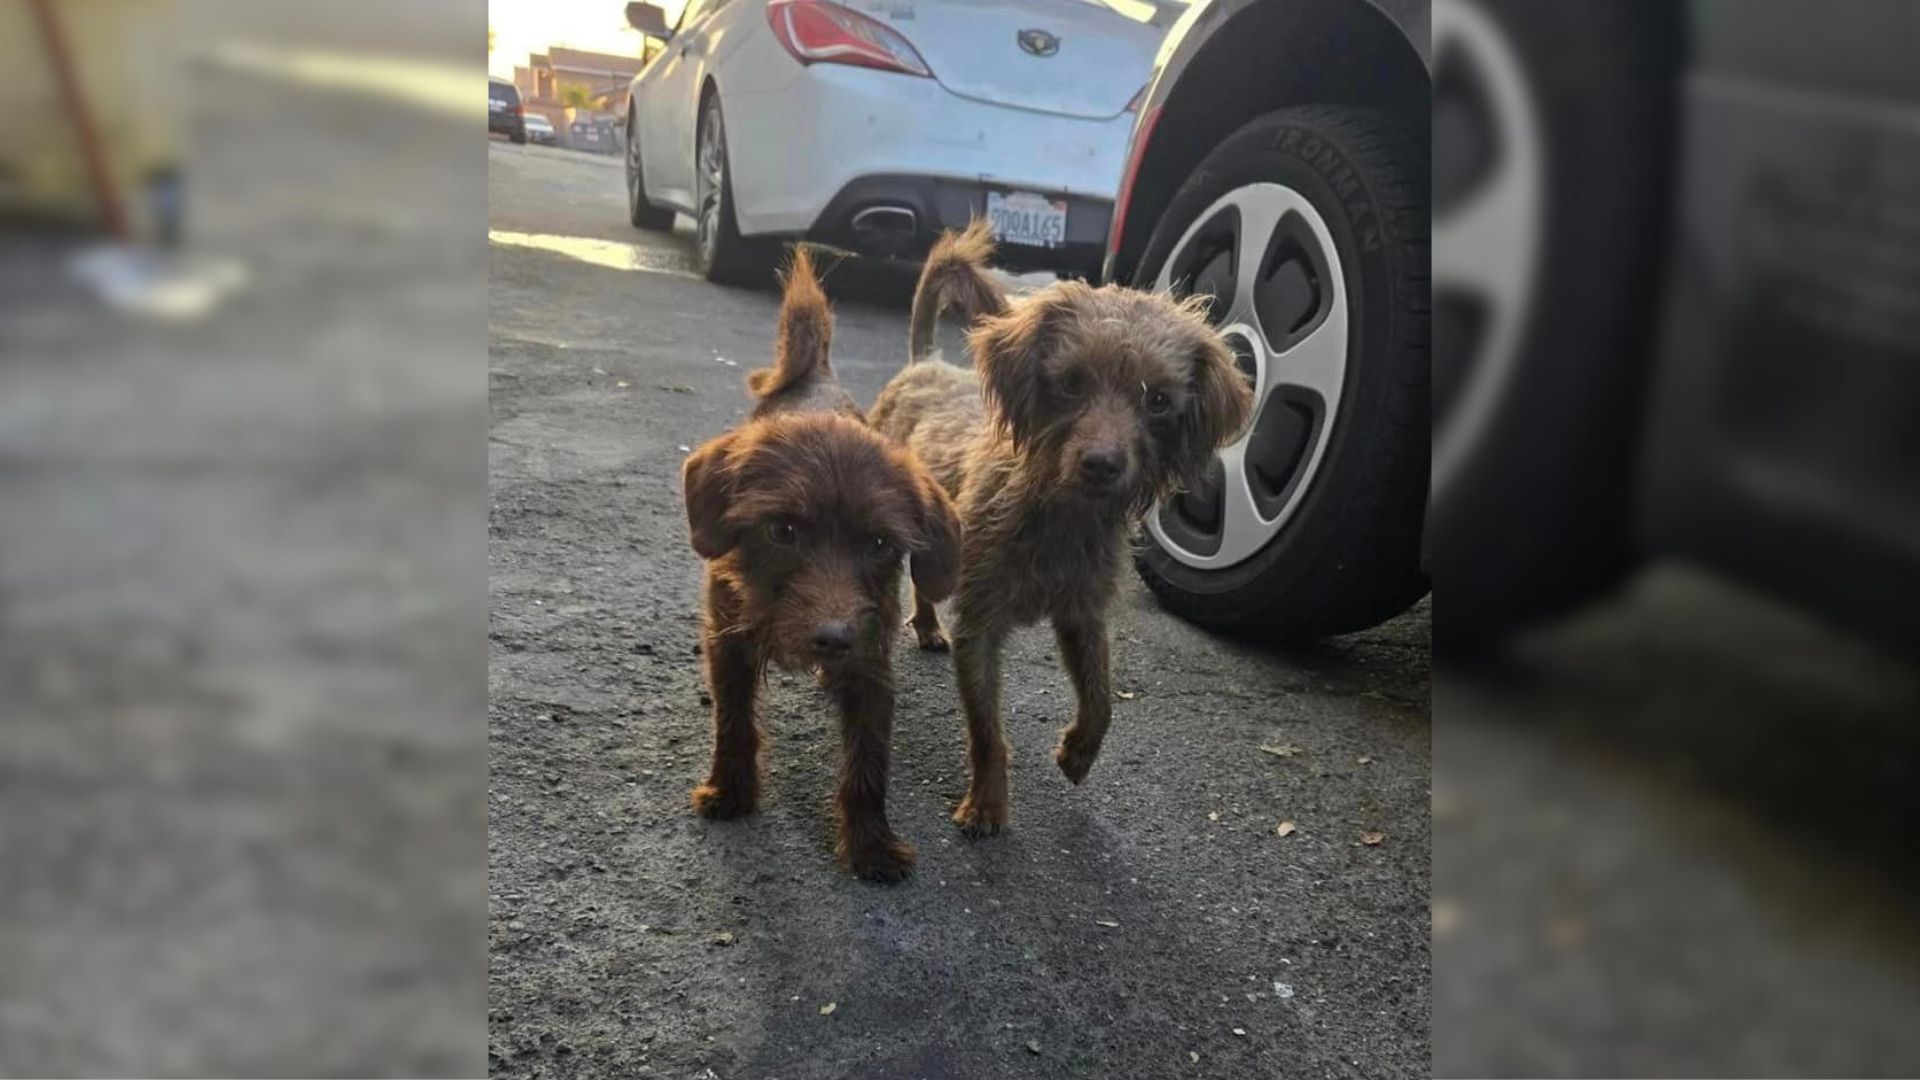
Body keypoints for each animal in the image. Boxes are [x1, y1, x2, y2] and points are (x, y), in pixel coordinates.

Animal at [687, 247, 967, 880]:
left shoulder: (871, 663)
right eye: (783, 531)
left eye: (881, 545)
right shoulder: (727, 641)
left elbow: (867, 761)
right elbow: (734, 721)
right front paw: (731, 791)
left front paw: (870, 845)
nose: (833, 637)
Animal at [867, 222, 1251, 834]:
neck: (1059, 519)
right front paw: (987, 803)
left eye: (1159, 401)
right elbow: (988, 732)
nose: (1102, 464)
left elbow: (1102, 699)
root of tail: (925, 363)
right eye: (1070, 383)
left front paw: (1078, 753)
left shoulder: (1082, 616)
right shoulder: (980, 628)